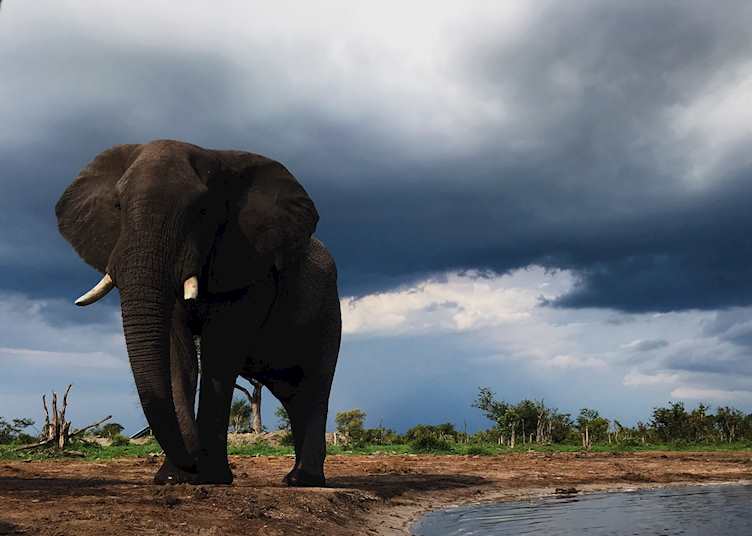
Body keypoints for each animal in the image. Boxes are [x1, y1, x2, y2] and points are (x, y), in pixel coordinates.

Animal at [55, 140, 341, 486]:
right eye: (118, 206)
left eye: (201, 211)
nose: (191, 465)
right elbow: (179, 356)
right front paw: (175, 477)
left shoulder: (249, 269)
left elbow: (220, 351)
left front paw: (212, 477)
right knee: (293, 395)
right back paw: (294, 478)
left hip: (327, 309)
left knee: (314, 387)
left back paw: (302, 481)